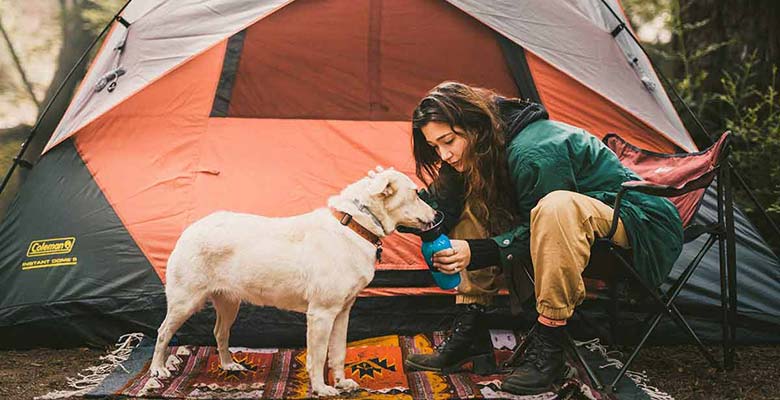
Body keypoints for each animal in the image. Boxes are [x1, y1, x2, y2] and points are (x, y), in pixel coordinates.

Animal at [149, 166, 436, 396]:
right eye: (415, 193)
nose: (437, 215)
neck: (355, 225)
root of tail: (190, 229)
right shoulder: (321, 314)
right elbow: (318, 357)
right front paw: (321, 388)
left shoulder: (343, 312)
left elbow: (338, 352)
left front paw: (342, 383)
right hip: (185, 301)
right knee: (163, 333)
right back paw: (158, 370)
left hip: (229, 303)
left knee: (220, 332)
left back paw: (228, 364)